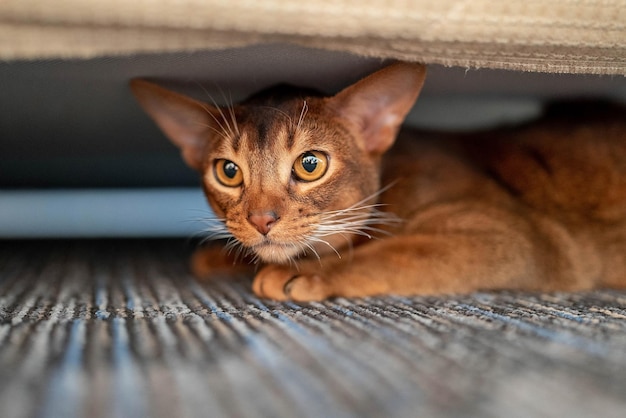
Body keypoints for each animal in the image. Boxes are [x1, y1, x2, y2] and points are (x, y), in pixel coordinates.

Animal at [130, 62, 624, 300]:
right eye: (228, 171)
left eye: (310, 164)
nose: (261, 220)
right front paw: (227, 256)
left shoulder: (513, 236)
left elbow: (390, 252)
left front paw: (304, 272)